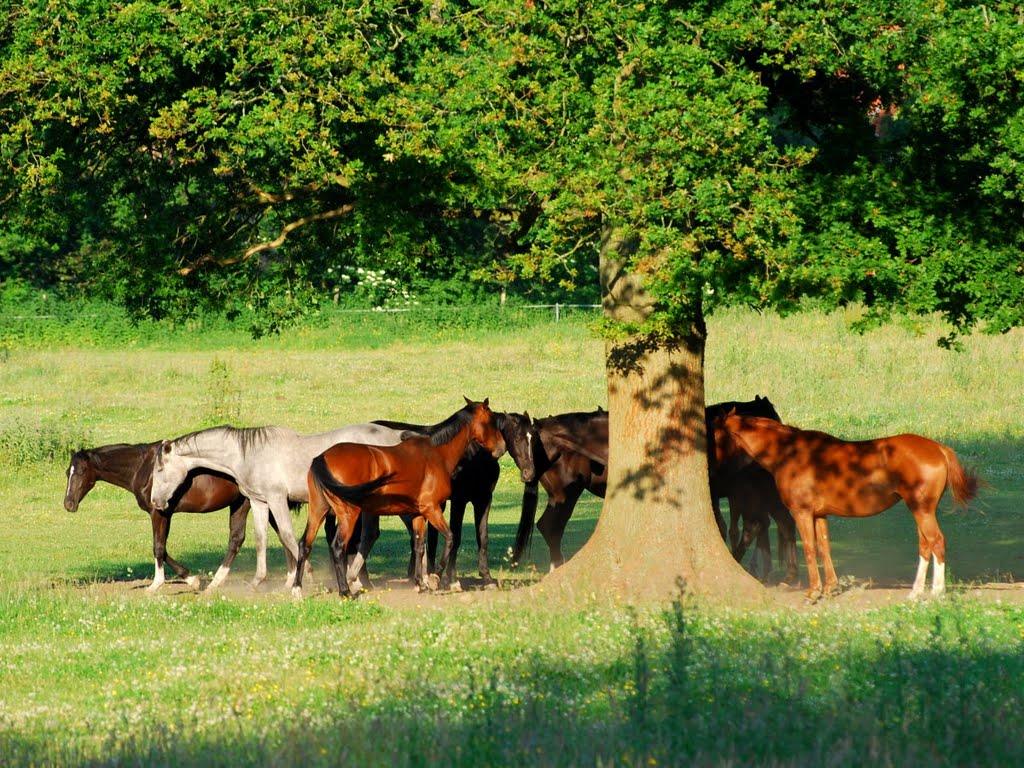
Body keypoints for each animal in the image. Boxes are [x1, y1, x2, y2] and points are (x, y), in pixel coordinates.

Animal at [65, 442, 260, 593]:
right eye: (68, 472)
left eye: (82, 470)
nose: (69, 503)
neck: (144, 468)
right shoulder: (165, 515)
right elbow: (163, 548)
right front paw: (194, 580)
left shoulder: (158, 513)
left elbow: (158, 547)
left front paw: (155, 585)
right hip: (240, 503)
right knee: (236, 539)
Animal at [149, 421, 405, 589]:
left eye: (159, 470)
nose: (155, 502)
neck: (248, 455)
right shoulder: (259, 502)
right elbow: (261, 539)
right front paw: (258, 580)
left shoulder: (277, 499)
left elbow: (288, 536)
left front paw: (307, 577)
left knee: (369, 535)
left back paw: (352, 577)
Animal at [294, 399, 505, 598]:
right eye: (491, 421)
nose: (501, 448)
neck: (436, 453)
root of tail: (322, 457)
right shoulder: (432, 508)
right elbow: (450, 538)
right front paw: (434, 578)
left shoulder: (419, 513)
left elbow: (419, 546)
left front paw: (420, 583)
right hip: (348, 514)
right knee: (339, 547)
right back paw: (345, 591)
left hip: (318, 510)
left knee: (305, 545)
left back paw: (297, 590)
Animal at [712, 411, 983, 606]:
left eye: (714, 434)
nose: (713, 469)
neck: (790, 453)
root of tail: (939, 449)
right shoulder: (820, 515)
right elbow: (824, 548)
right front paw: (830, 588)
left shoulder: (802, 513)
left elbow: (809, 549)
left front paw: (813, 593)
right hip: (921, 511)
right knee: (925, 545)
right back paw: (915, 593)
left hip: (921, 510)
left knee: (937, 542)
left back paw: (936, 593)